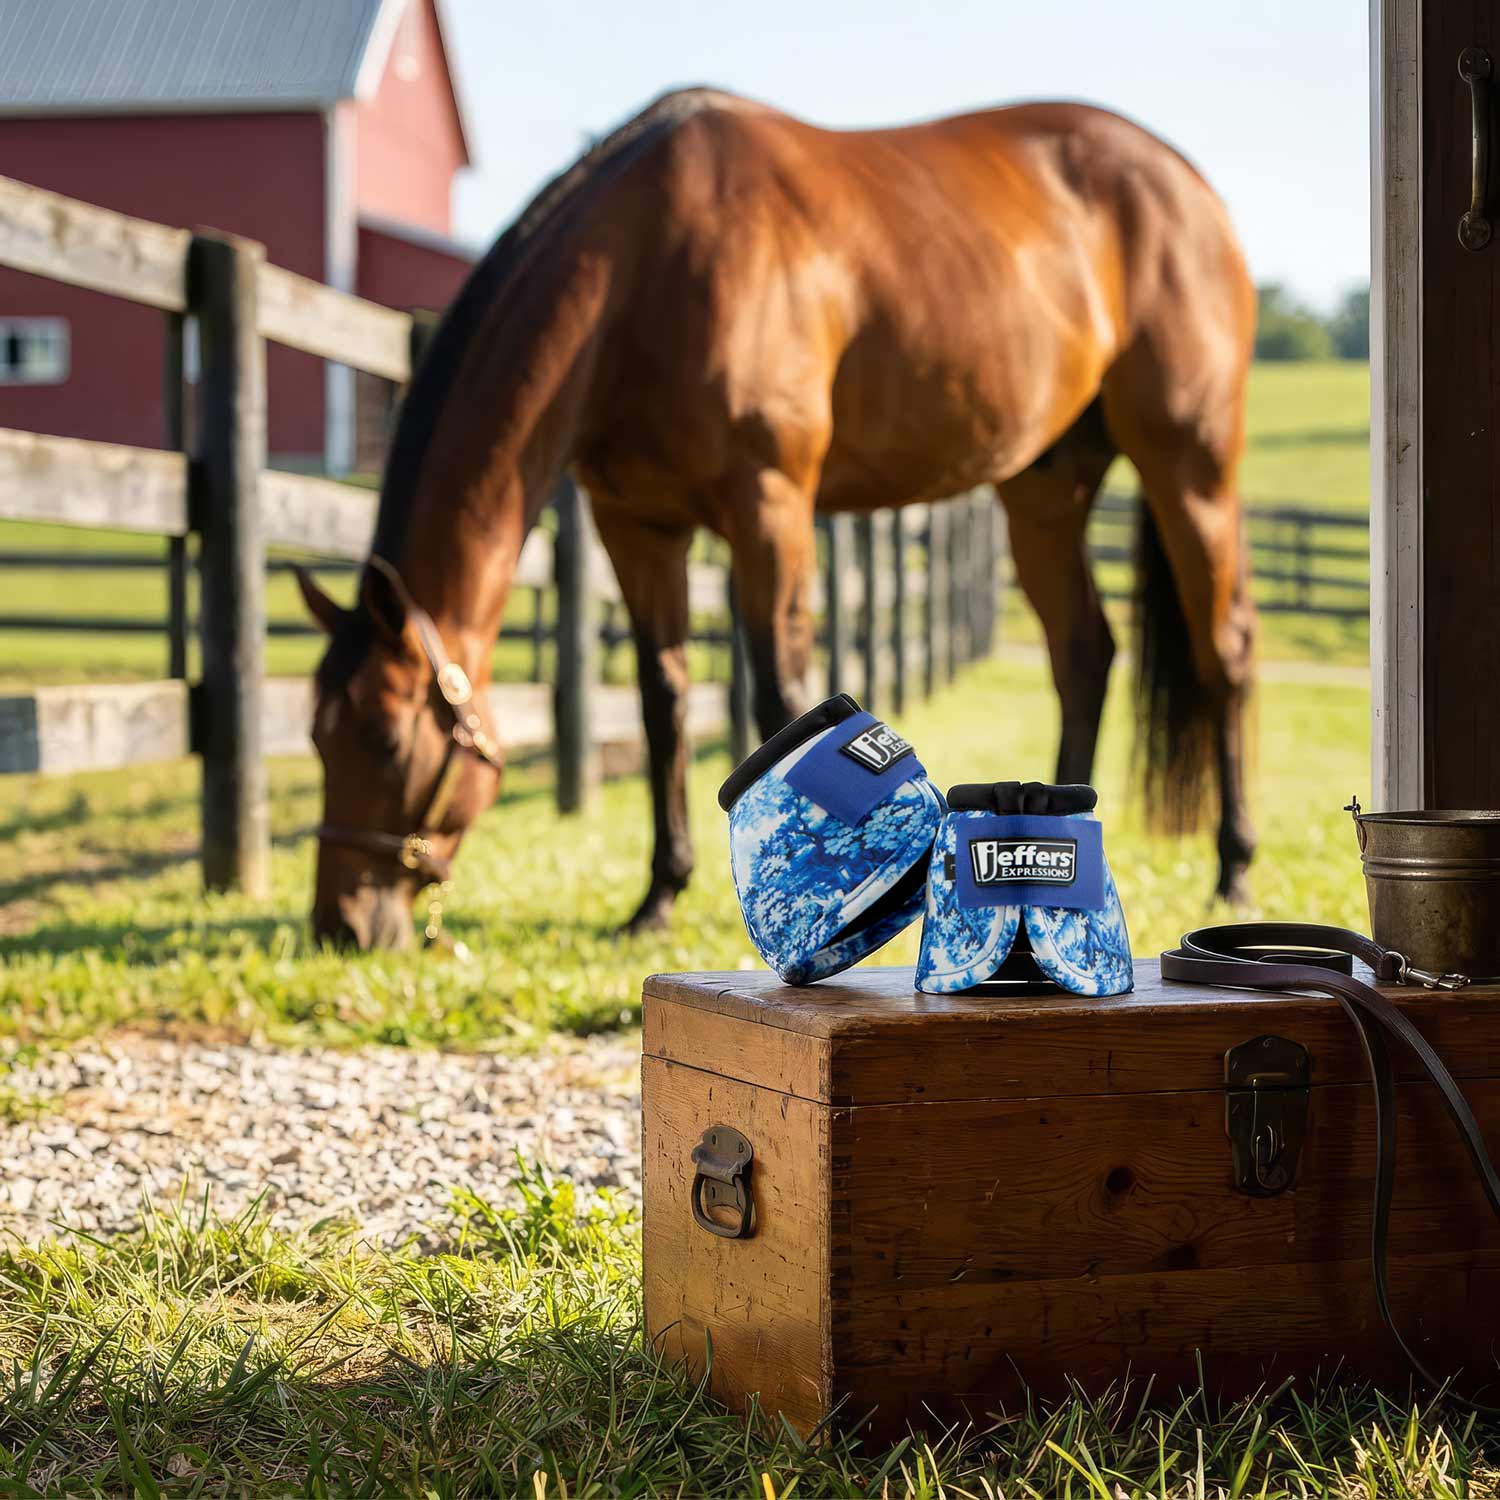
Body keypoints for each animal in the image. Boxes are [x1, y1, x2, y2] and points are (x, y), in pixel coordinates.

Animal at [295, 87, 1257, 951]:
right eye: (314, 735)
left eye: (386, 740)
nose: (343, 926)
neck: (647, 264)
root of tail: (1190, 189)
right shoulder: (636, 526)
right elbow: (663, 700)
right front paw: (658, 897)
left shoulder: (771, 505)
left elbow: (784, 696)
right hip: (1044, 491)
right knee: (1083, 652)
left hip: (1191, 467)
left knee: (1226, 650)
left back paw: (1234, 866)